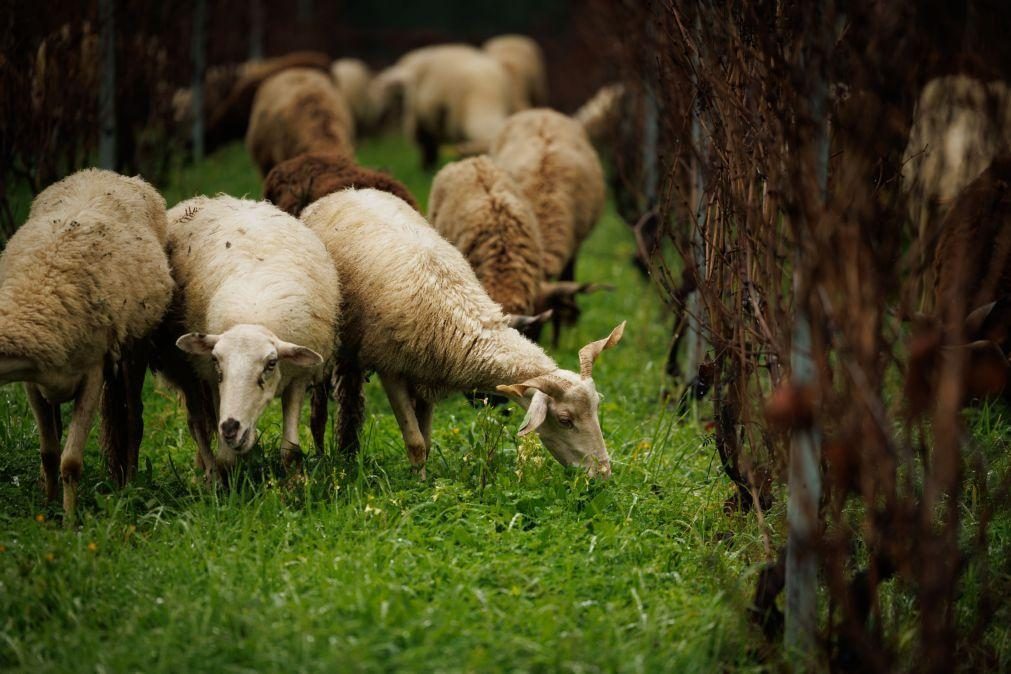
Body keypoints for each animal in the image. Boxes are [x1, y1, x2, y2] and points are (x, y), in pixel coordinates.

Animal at [0, 167, 171, 517]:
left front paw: (69, 521)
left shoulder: (93, 374)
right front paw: (47, 510)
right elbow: (49, 452)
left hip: (134, 348)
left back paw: (129, 486)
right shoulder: (33, 384)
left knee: (132, 420)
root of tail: (107, 172)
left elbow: (71, 462)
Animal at [155, 195, 341, 478]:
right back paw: (208, 475)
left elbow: (290, 450)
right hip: (184, 373)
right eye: (216, 361)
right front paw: (227, 482)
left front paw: (297, 482)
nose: (231, 428)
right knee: (197, 424)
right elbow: (226, 456)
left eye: (271, 363)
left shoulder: (298, 377)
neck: (253, 317)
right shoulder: (211, 379)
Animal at [299, 186, 618, 476]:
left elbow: (426, 441)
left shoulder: (426, 373)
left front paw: (424, 482)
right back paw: (323, 456)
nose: (603, 473)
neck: (455, 309)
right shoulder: (391, 368)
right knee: (321, 407)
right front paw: (418, 486)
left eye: (597, 407)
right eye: (565, 420)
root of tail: (345, 191)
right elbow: (415, 442)